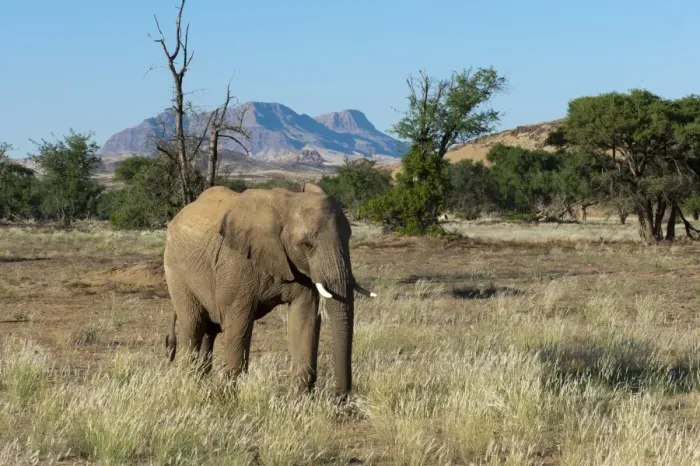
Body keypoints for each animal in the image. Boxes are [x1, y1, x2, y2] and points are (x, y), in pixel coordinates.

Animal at [162, 182, 376, 398]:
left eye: (349, 238)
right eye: (307, 245)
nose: (341, 397)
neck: (287, 204)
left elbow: (305, 317)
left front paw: (299, 399)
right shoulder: (237, 262)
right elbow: (238, 322)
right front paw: (227, 398)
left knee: (209, 330)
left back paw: (200, 383)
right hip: (175, 269)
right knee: (193, 325)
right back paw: (187, 385)